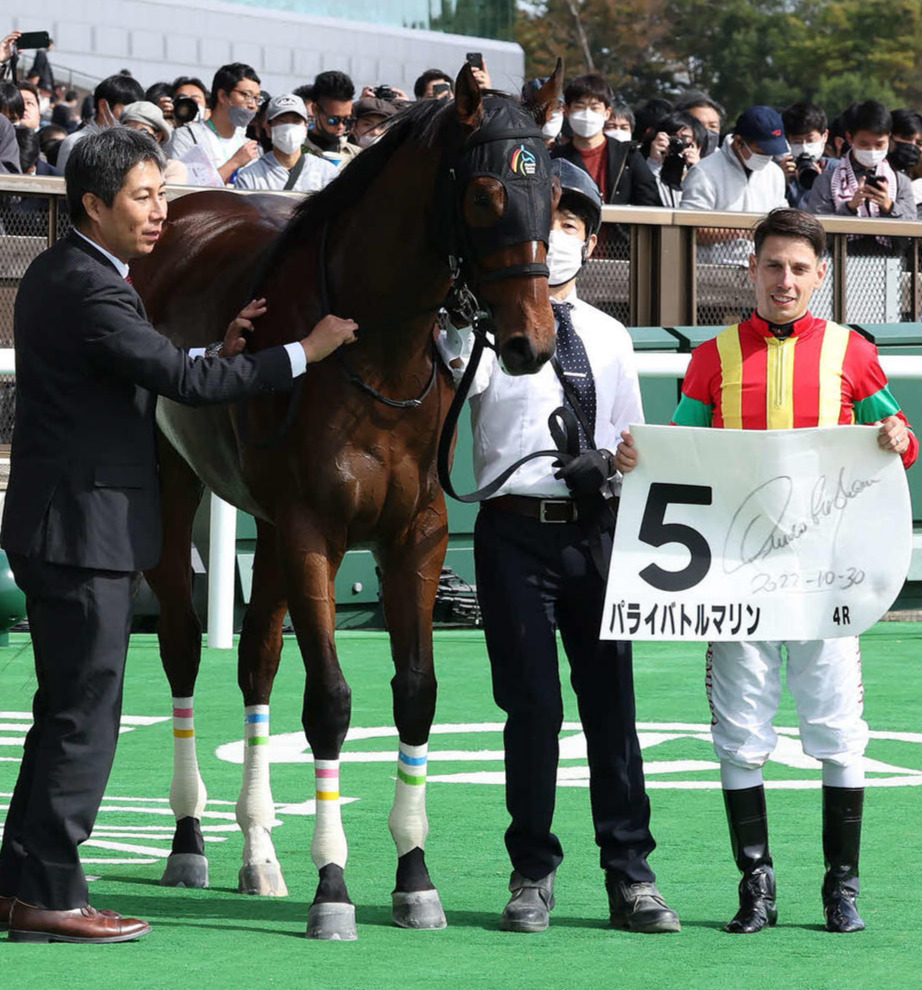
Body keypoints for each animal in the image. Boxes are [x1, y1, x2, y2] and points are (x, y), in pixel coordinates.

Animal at [130, 64, 561, 940]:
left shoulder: (417, 535)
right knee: (184, 648)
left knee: (257, 661)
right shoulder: (312, 531)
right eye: (485, 195)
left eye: (556, 192)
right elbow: (328, 702)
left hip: (262, 527)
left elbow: (416, 694)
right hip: (177, 491)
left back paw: (258, 852)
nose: (531, 342)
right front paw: (332, 887)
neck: (379, 357)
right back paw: (189, 838)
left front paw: (414, 877)